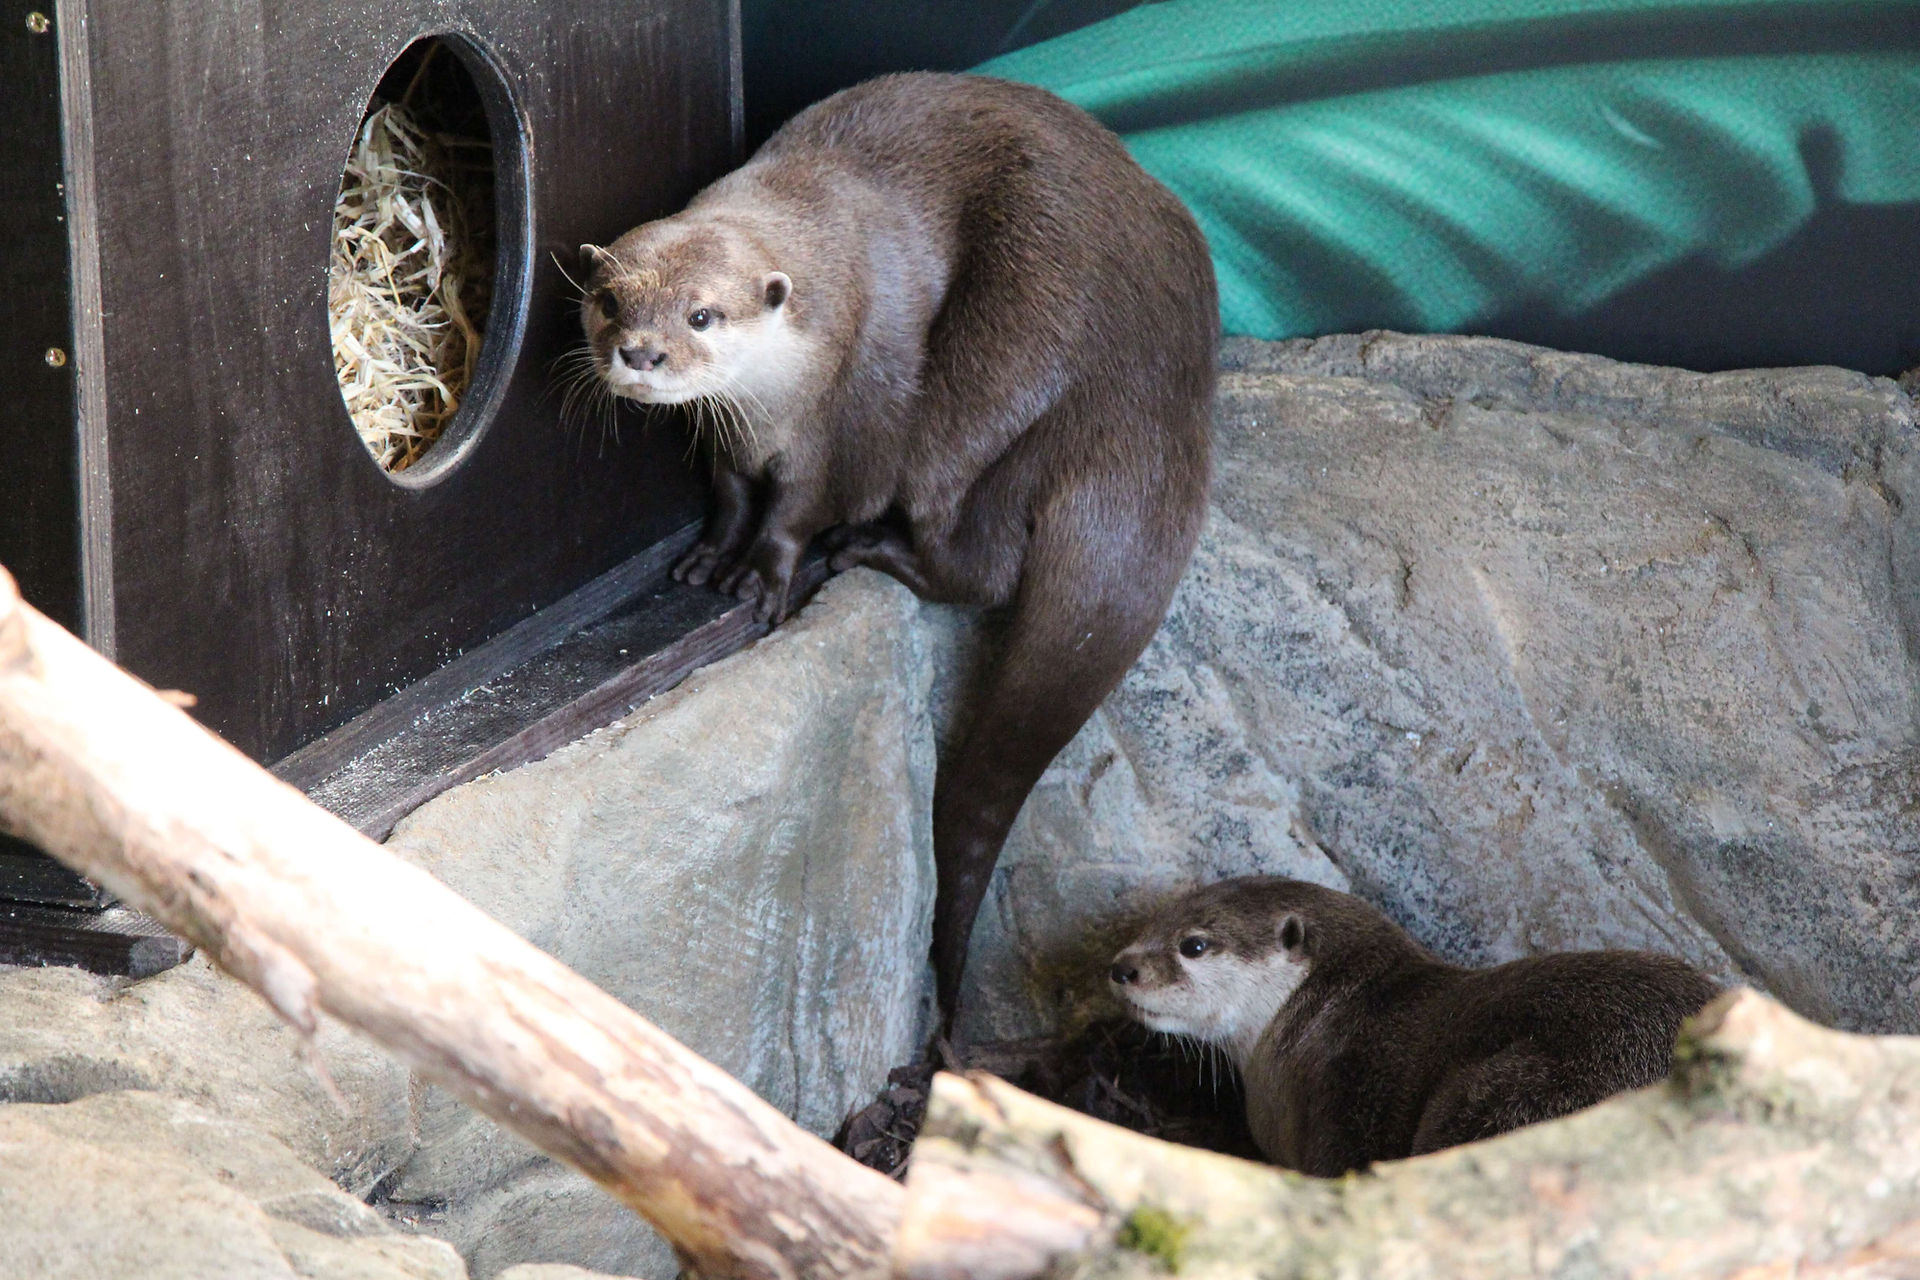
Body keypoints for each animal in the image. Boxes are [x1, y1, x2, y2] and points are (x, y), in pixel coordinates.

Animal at [580, 73, 1216, 1016]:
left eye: (702, 313)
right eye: (611, 301)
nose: (640, 352)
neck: (774, 405)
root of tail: (1151, 402)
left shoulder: (849, 412)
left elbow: (800, 506)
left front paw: (764, 575)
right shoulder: (725, 435)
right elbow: (730, 492)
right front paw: (709, 555)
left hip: (1008, 362)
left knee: (977, 555)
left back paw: (871, 550)